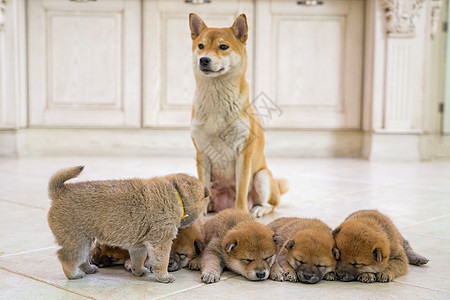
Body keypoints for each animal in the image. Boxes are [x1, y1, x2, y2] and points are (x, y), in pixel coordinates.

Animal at [47, 166, 209, 284]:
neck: (177, 194)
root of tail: (60, 191)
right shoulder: (161, 242)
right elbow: (161, 261)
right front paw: (164, 276)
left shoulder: (139, 245)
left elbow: (139, 259)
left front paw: (139, 271)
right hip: (77, 240)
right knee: (66, 257)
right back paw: (73, 274)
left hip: (85, 240)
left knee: (81, 259)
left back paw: (88, 269)